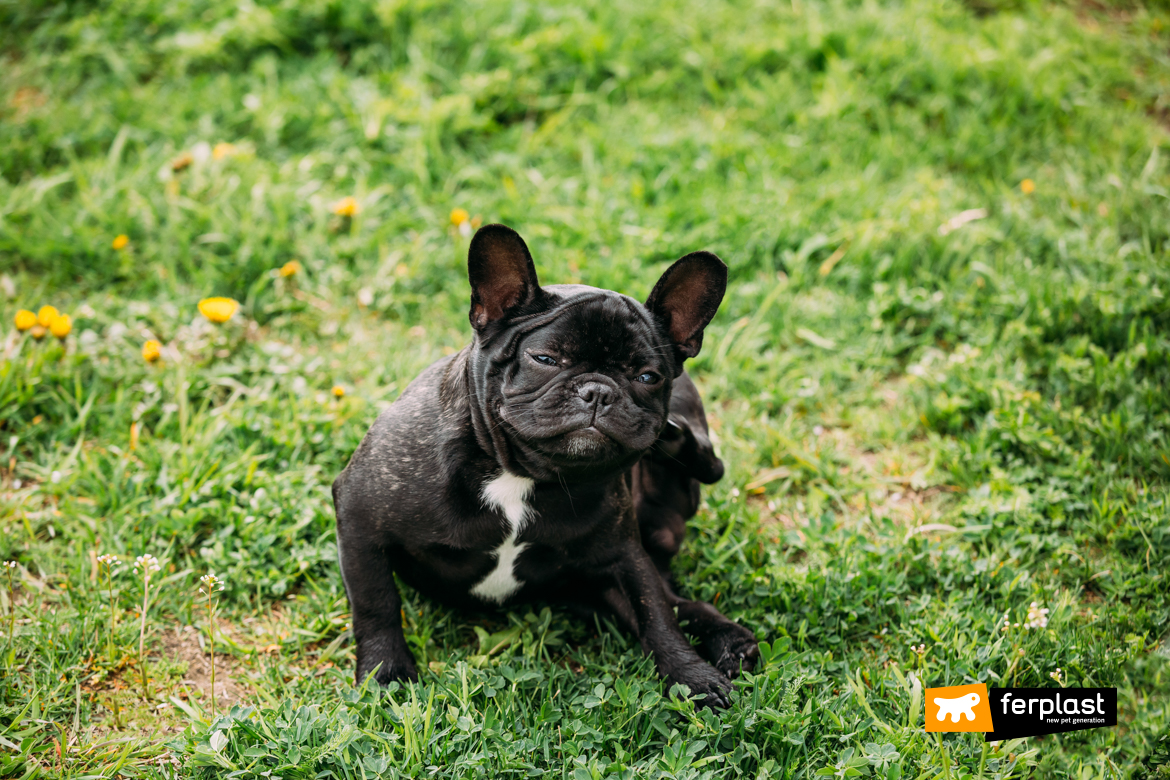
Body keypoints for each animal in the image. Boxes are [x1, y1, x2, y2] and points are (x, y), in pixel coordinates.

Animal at [334, 224, 762, 706]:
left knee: (704, 493)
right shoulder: (360, 519)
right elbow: (376, 603)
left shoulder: (623, 554)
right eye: (545, 359)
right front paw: (385, 673)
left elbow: (656, 614)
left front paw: (691, 677)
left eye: (648, 377)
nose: (598, 391)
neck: (522, 473)